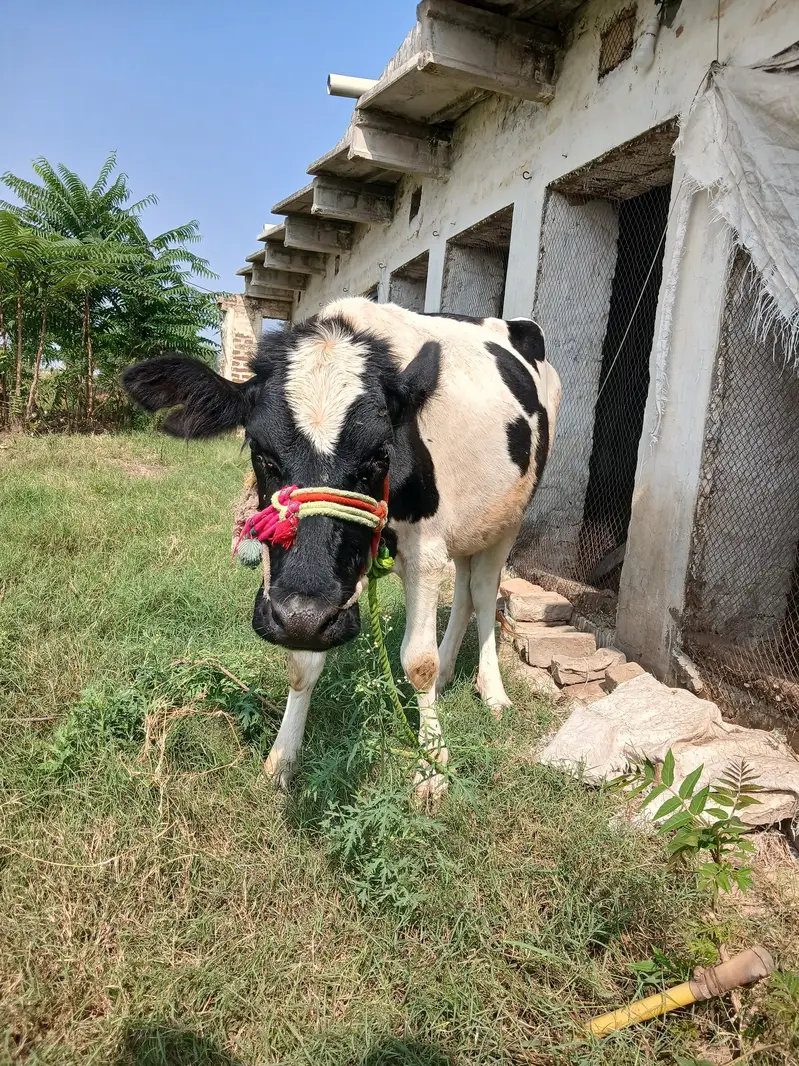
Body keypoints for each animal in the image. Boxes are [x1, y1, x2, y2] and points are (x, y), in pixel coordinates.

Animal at [123, 298, 561, 798]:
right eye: (260, 452)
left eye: (380, 455)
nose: (304, 615)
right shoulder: (303, 598)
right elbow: (301, 662)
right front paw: (283, 757)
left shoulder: (424, 551)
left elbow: (419, 661)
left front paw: (432, 765)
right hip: (473, 522)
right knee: (466, 590)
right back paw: (451, 674)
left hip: (511, 516)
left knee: (485, 593)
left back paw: (492, 690)